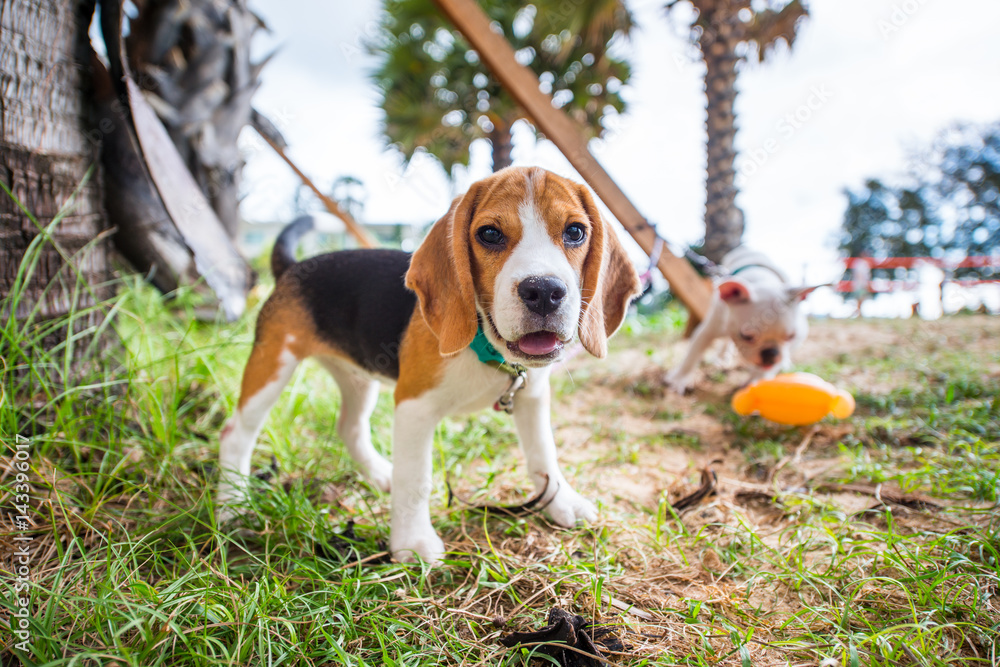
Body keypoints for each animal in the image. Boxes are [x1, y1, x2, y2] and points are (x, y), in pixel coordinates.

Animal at [218, 167, 640, 564]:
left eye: (575, 232)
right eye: (489, 234)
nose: (545, 291)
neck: (485, 345)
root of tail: (294, 268)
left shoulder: (532, 396)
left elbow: (543, 453)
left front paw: (561, 501)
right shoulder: (414, 406)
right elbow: (416, 477)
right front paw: (414, 543)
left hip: (357, 376)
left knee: (349, 427)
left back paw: (378, 473)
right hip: (273, 365)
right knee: (236, 433)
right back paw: (231, 504)